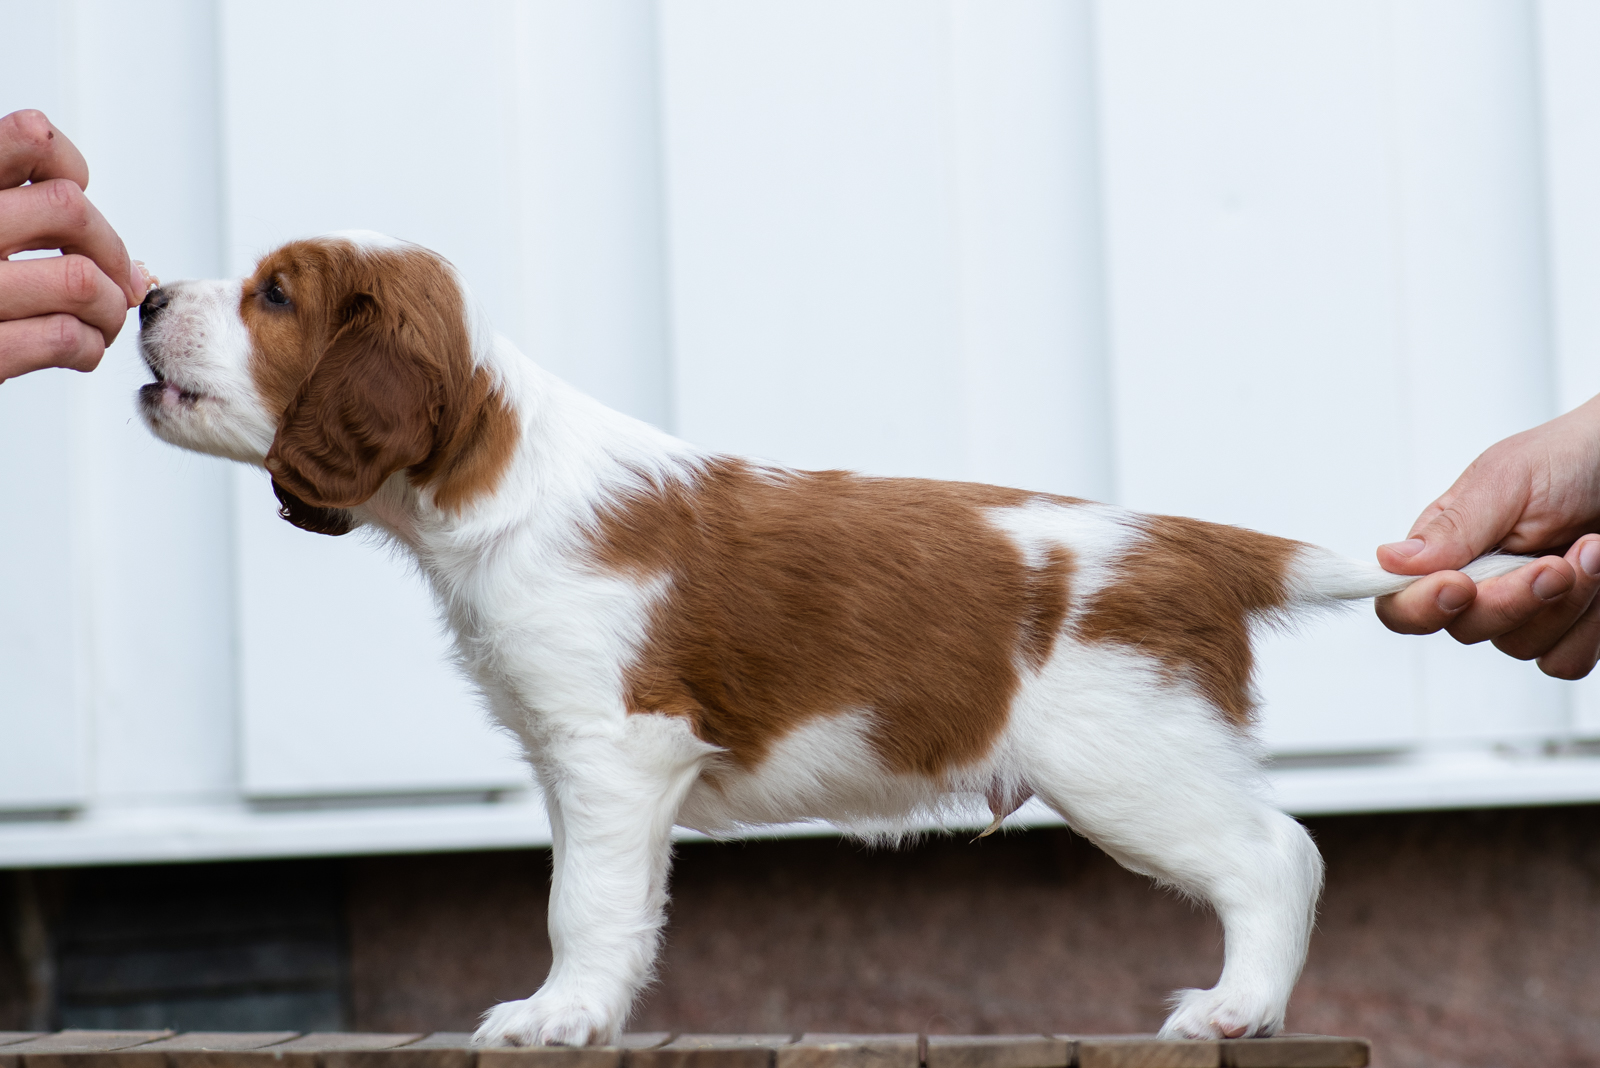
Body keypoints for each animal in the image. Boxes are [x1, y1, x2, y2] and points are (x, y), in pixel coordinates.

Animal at [134, 238, 1510, 1048]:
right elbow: (603, 896)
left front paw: (555, 1015)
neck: (503, 477)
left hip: (1130, 759)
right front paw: (590, 1009)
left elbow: (582, 904)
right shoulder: (578, 762)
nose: (143, 294)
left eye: (272, 295)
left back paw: (1236, 1008)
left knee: (1275, 855)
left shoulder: (616, 746)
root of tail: (1189, 542)